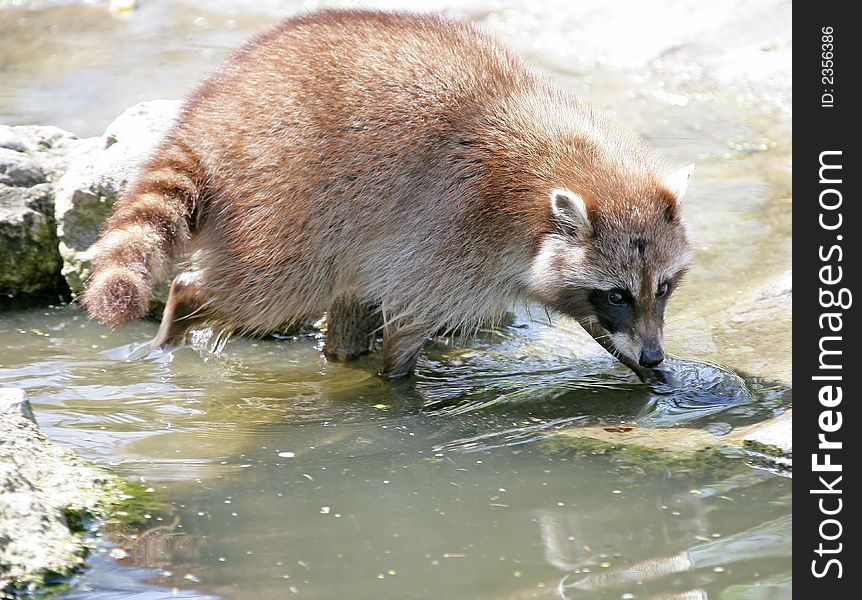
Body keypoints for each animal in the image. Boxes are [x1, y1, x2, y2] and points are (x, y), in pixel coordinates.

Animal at [82, 9, 696, 380]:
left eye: (663, 288)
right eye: (616, 294)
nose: (655, 354)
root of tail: (207, 117)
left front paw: (646, 370)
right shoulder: (451, 231)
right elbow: (409, 321)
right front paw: (396, 383)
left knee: (344, 290)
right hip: (287, 201)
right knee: (268, 288)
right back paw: (183, 305)